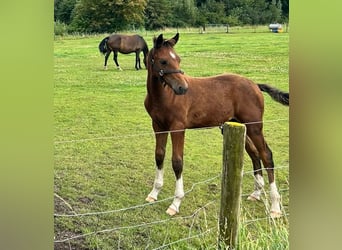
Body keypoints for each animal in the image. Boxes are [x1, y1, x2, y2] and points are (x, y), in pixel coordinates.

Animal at [144, 33, 288, 219]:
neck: (164, 96)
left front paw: (175, 203)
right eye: (163, 61)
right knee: (254, 154)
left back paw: (275, 207)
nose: (183, 88)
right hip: (241, 126)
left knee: (266, 155)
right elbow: (159, 155)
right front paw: (154, 193)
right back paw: (256, 194)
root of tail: (255, 85)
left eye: (178, 60)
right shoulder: (158, 125)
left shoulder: (178, 127)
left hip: (255, 126)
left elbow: (177, 161)